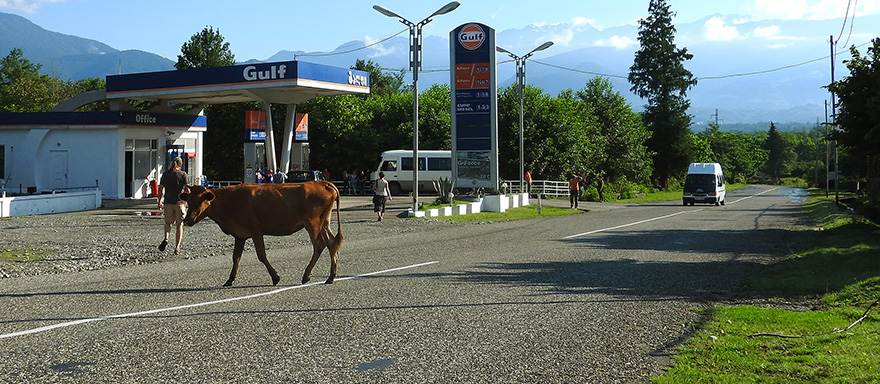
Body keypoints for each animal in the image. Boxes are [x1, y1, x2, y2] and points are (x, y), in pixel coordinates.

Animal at [180, 182, 342, 286]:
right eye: (188, 201)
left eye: (199, 202)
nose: (187, 220)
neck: (229, 201)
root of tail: (322, 183)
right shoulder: (240, 235)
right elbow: (236, 258)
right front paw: (230, 280)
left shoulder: (256, 231)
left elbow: (261, 255)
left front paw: (275, 277)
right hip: (324, 223)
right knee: (332, 244)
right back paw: (331, 277)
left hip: (313, 224)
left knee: (319, 245)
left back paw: (307, 275)